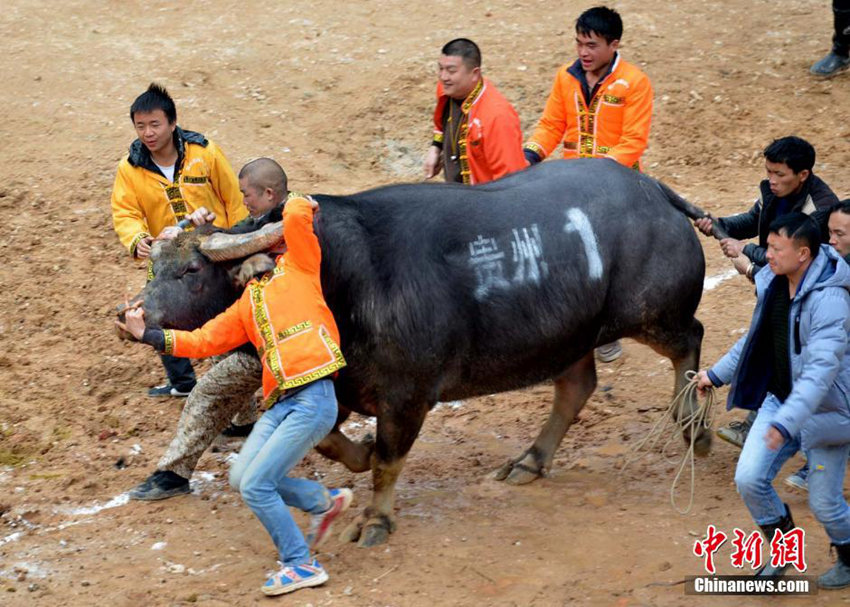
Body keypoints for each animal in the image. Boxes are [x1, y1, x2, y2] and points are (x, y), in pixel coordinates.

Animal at [126, 159, 724, 548]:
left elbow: (388, 462)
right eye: (154, 266)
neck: (339, 277)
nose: (131, 315)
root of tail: (654, 191)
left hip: (651, 315)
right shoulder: (342, 388)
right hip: (571, 335)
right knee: (577, 388)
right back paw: (529, 461)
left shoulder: (407, 396)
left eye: (191, 269)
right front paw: (361, 455)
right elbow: (335, 445)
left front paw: (375, 521)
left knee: (690, 343)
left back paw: (694, 429)